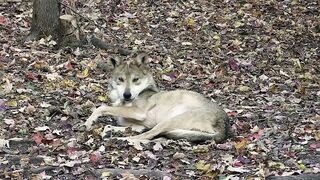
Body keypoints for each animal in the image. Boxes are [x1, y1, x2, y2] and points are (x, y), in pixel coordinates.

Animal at [84, 53, 229, 142]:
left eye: (135, 79)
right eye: (121, 79)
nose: (127, 95)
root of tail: (225, 126)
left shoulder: (138, 112)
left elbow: (101, 107)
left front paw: (89, 122)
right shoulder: (138, 125)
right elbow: (109, 125)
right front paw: (105, 130)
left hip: (168, 121)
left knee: (145, 137)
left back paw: (120, 140)